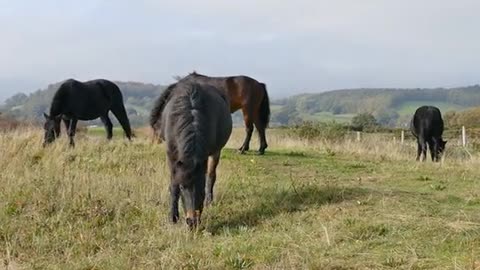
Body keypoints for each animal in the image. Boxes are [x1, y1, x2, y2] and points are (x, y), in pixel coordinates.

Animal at [150, 81, 232, 229]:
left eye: (200, 185)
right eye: (183, 187)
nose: (192, 222)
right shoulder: (171, 158)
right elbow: (173, 186)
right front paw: (173, 217)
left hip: (216, 152)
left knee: (211, 174)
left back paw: (209, 200)